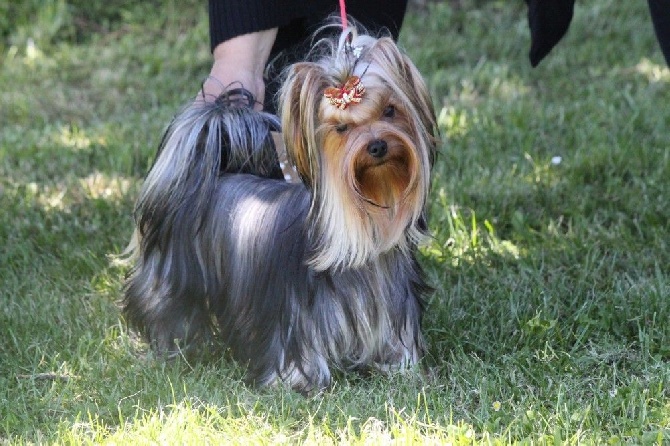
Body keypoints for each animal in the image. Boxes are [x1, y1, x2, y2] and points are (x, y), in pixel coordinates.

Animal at [124, 26, 440, 392]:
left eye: (390, 111)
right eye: (341, 128)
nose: (377, 146)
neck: (362, 225)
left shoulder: (393, 303)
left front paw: (401, 368)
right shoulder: (294, 319)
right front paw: (298, 383)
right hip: (175, 279)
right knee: (166, 311)